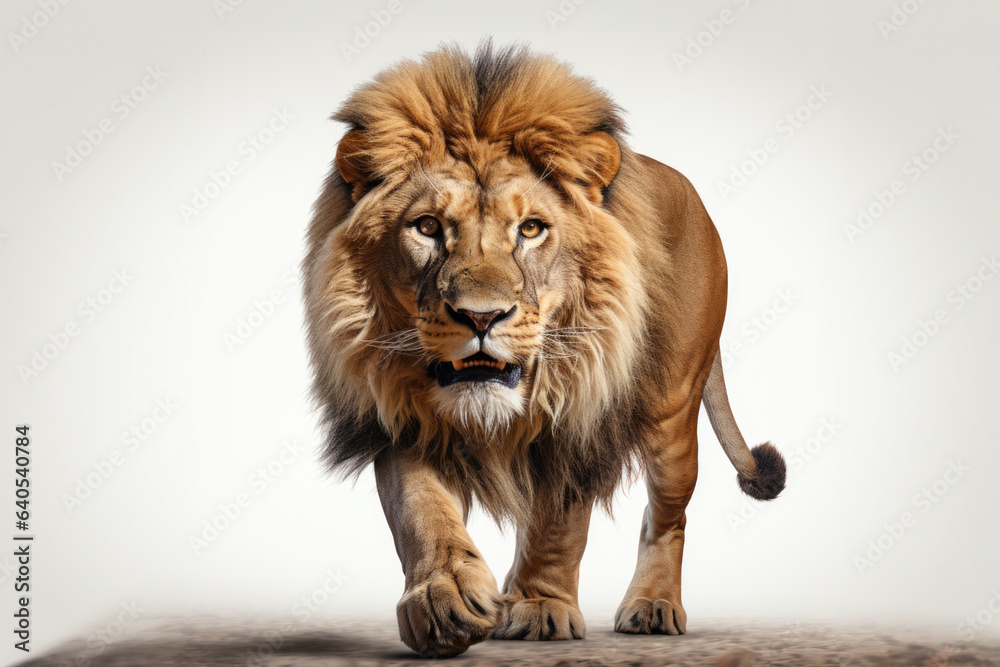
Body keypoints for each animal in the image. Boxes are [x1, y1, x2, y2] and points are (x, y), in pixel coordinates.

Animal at [302, 41, 786, 658]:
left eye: (531, 229)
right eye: (428, 226)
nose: (481, 316)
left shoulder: (579, 415)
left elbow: (559, 523)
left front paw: (538, 609)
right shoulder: (398, 412)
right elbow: (420, 507)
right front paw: (445, 599)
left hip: (672, 415)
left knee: (667, 516)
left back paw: (653, 606)